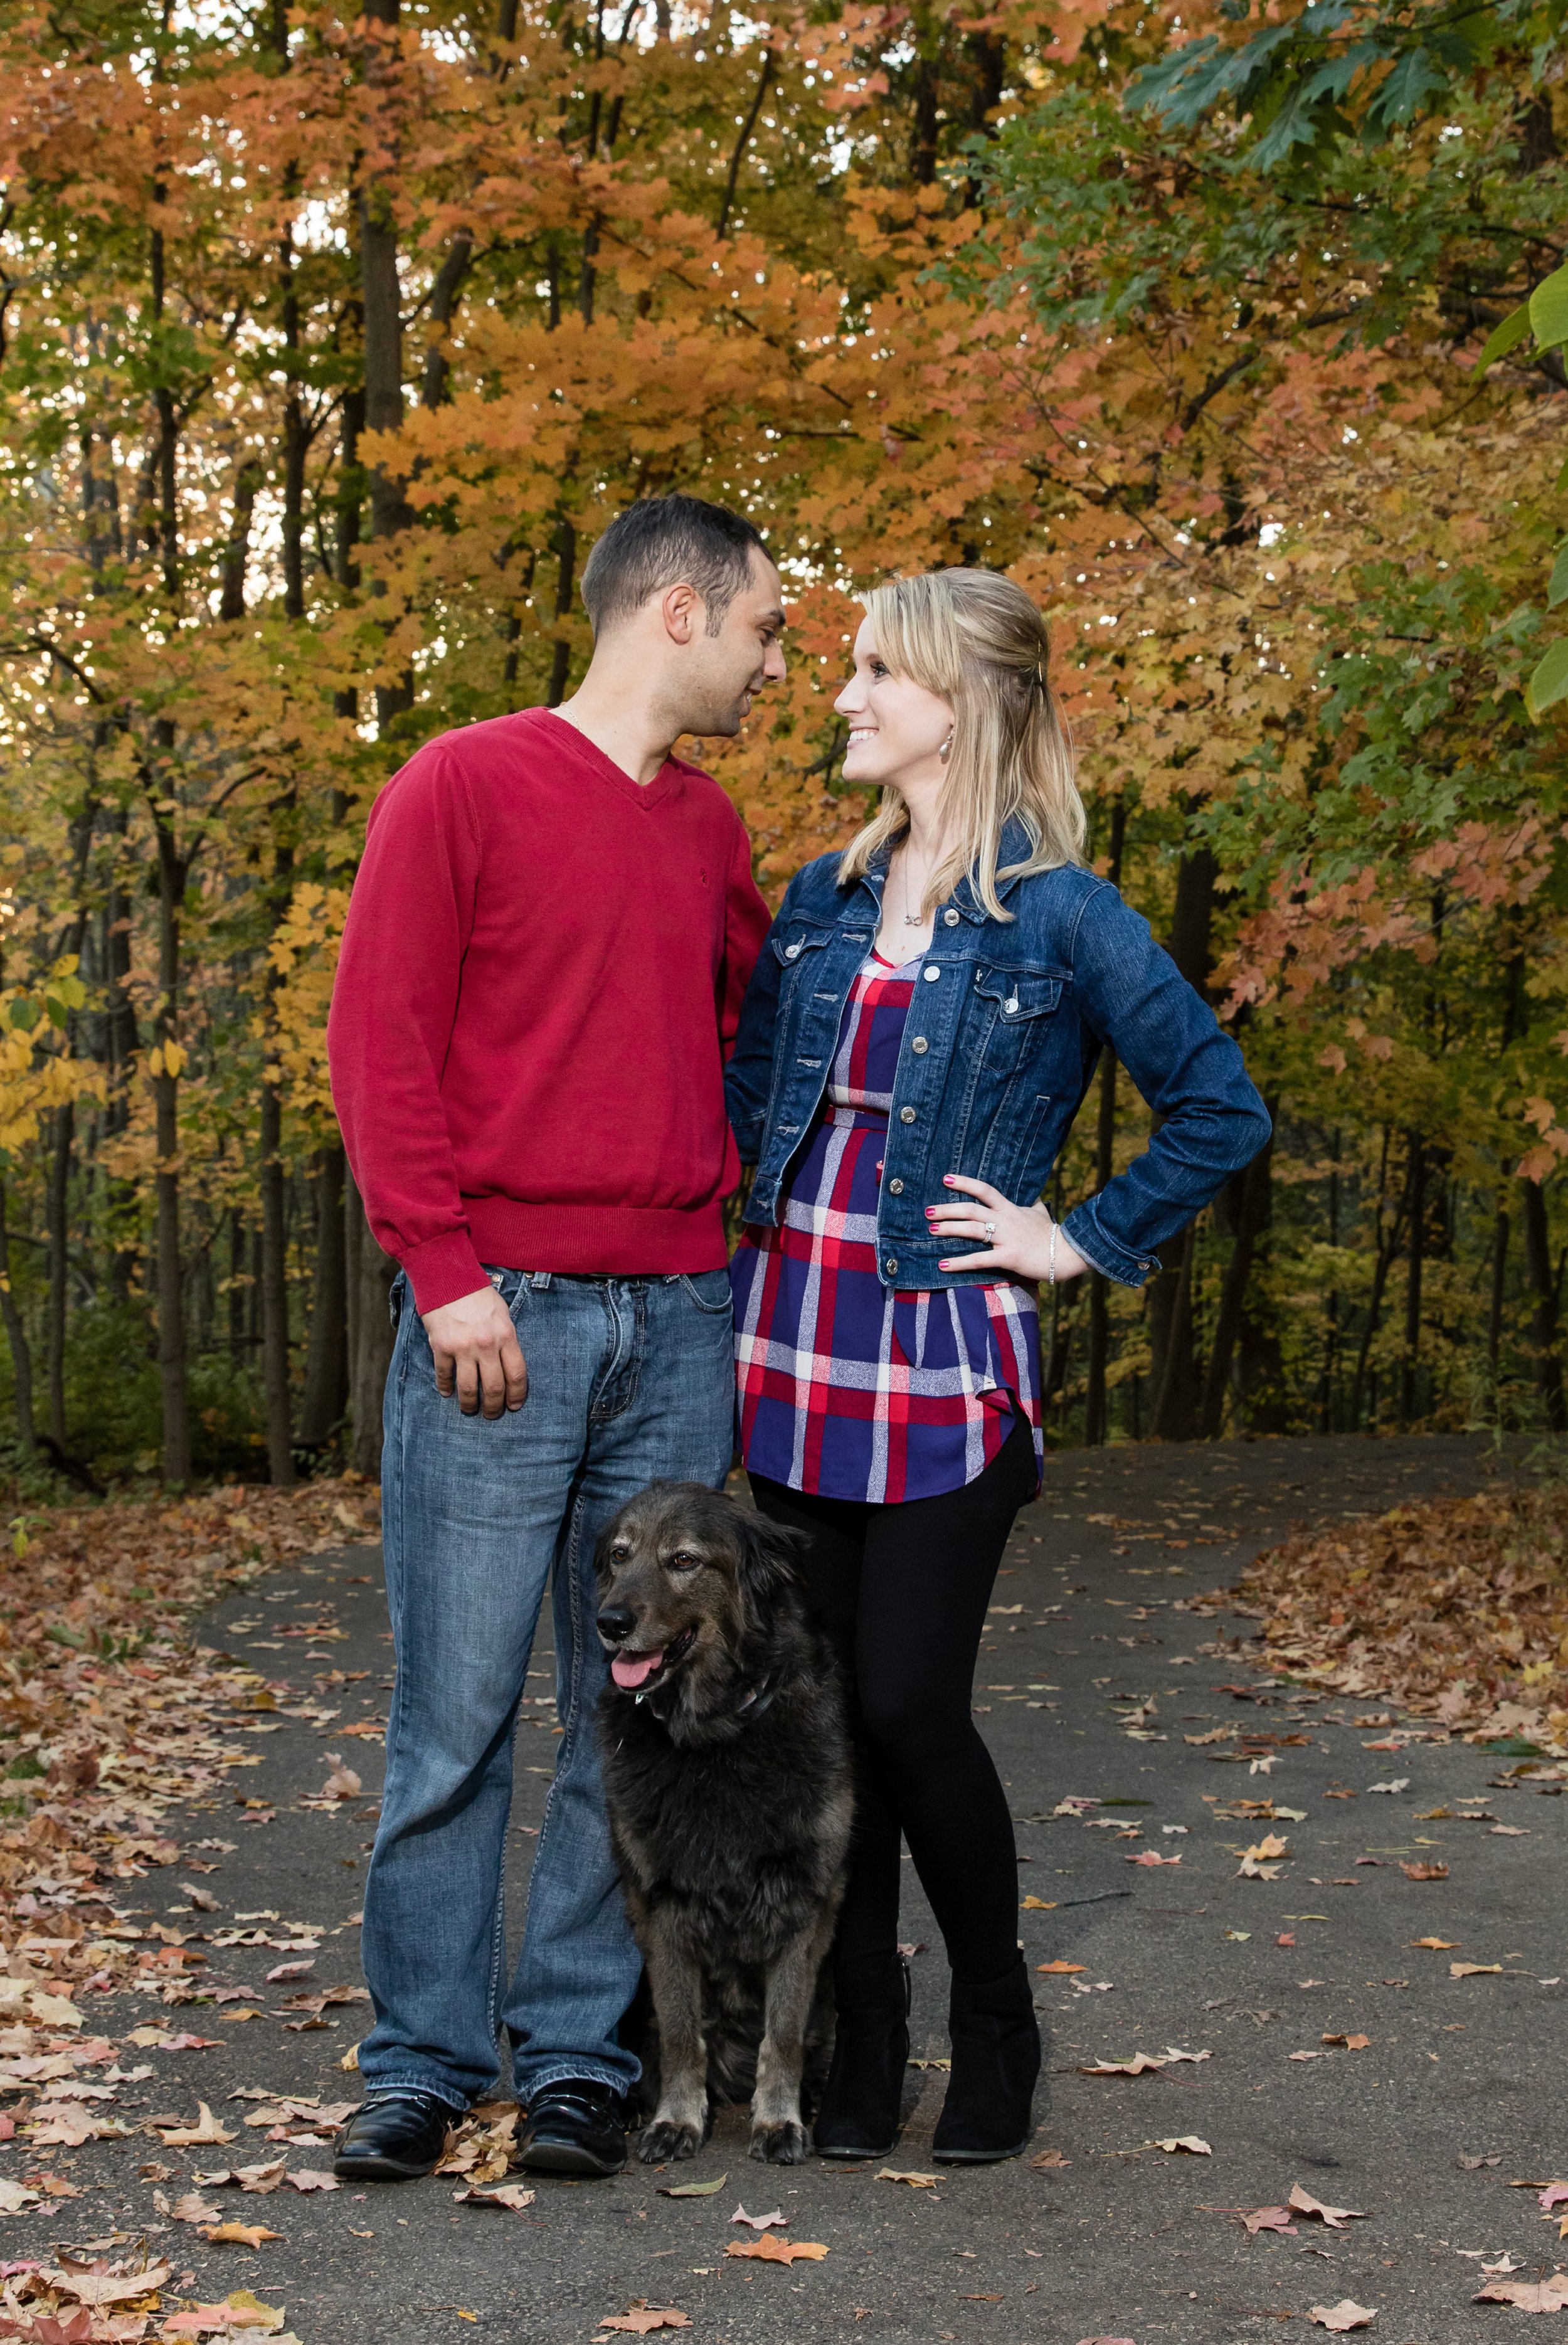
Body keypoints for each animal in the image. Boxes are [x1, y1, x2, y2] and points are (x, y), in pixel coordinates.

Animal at [593, 1482, 848, 2157]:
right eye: (620, 1554)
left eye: (684, 1560)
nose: (610, 1622)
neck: (715, 1737)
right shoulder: (661, 1906)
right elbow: (682, 2033)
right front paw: (677, 2119)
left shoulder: (804, 1904)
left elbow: (783, 2033)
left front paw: (779, 2119)